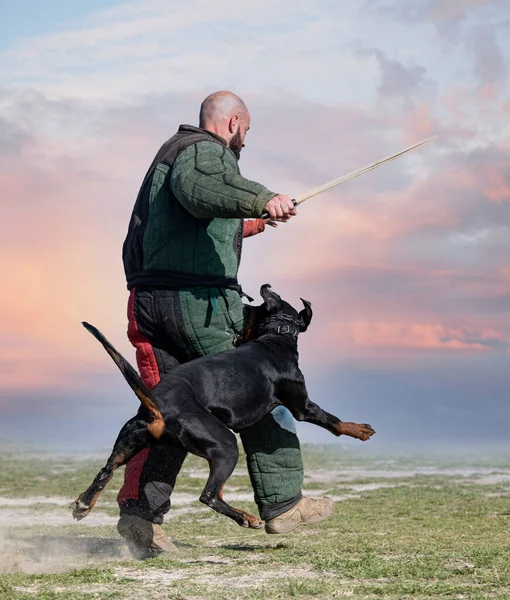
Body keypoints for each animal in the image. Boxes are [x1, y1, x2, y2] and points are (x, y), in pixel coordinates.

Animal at [70, 284, 374, 528]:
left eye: (249, 312)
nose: (237, 329)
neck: (276, 337)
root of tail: (158, 404)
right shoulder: (303, 406)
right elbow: (333, 420)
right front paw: (360, 430)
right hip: (225, 446)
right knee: (209, 495)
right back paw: (246, 518)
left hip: (130, 439)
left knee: (106, 470)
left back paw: (83, 504)